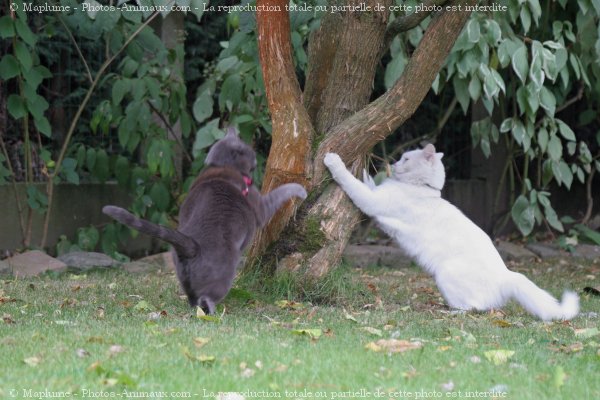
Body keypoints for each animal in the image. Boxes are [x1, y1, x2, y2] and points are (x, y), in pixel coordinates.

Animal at [101, 126, 308, 314]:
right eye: (249, 151)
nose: (256, 159)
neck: (222, 167)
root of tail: (191, 245)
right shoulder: (260, 207)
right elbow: (279, 192)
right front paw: (300, 190)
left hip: (182, 274)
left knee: (192, 297)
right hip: (225, 273)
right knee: (208, 295)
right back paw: (214, 313)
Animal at [326, 145, 580, 322]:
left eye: (406, 159)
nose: (394, 162)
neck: (423, 190)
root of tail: (506, 274)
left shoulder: (372, 202)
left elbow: (352, 182)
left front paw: (333, 160)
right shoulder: (376, 196)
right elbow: (367, 182)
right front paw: (367, 170)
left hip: (447, 274)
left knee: (476, 307)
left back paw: (451, 313)